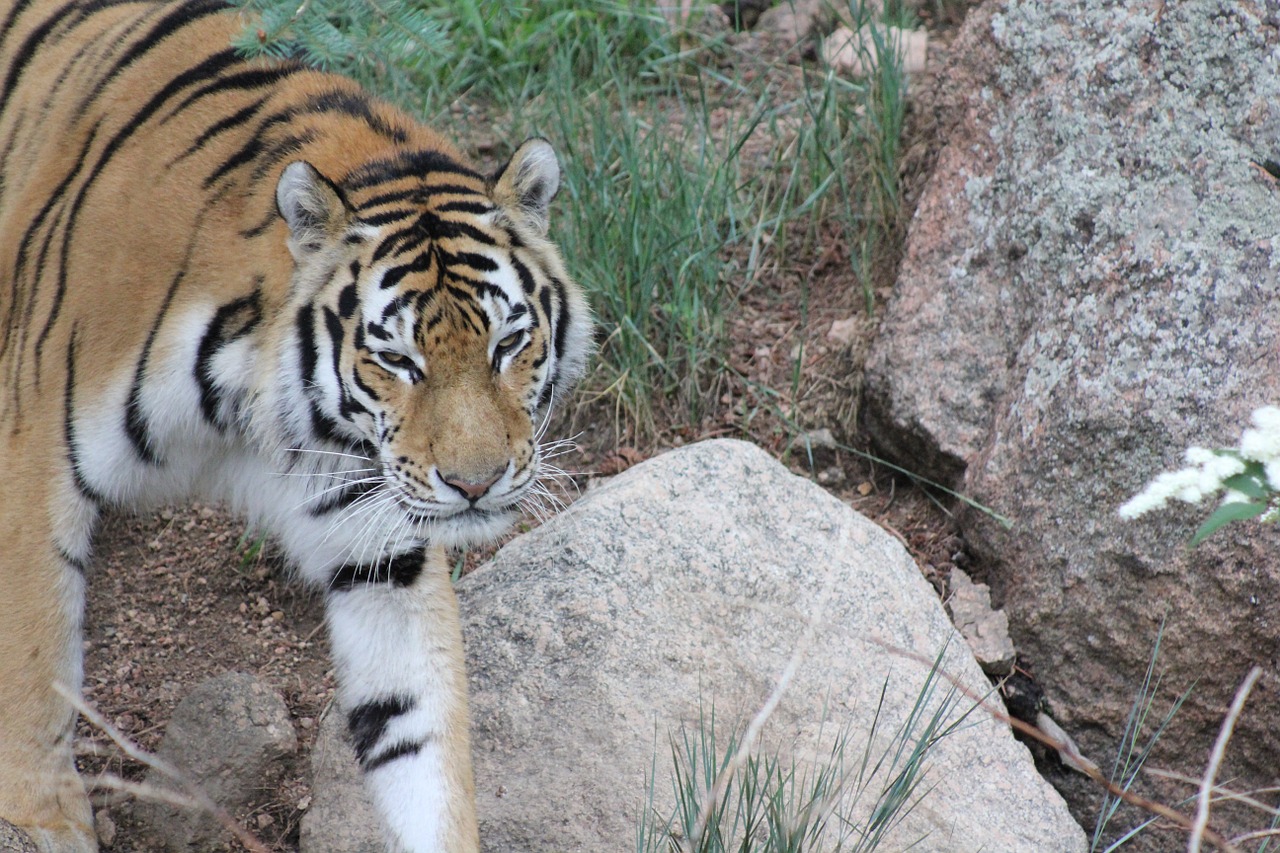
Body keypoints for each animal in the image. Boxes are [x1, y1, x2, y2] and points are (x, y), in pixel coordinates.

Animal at [0, 0, 591, 845]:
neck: (256, 409)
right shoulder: (33, 459)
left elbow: (418, 728)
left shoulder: (373, 531)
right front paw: (39, 816)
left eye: (508, 343)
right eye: (398, 359)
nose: (476, 485)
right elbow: (33, 660)